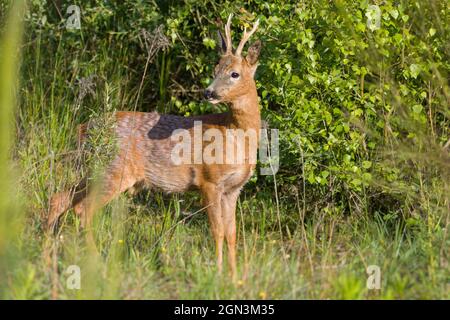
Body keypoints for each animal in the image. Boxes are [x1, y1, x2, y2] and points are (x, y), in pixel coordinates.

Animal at [46, 14, 260, 278]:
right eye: (215, 69)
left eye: (234, 73)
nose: (208, 92)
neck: (236, 136)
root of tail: (84, 129)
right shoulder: (208, 180)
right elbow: (217, 231)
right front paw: (218, 274)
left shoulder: (233, 189)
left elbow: (232, 233)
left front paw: (235, 277)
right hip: (114, 170)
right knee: (83, 210)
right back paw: (97, 265)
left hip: (94, 169)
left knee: (60, 199)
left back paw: (46, 255)